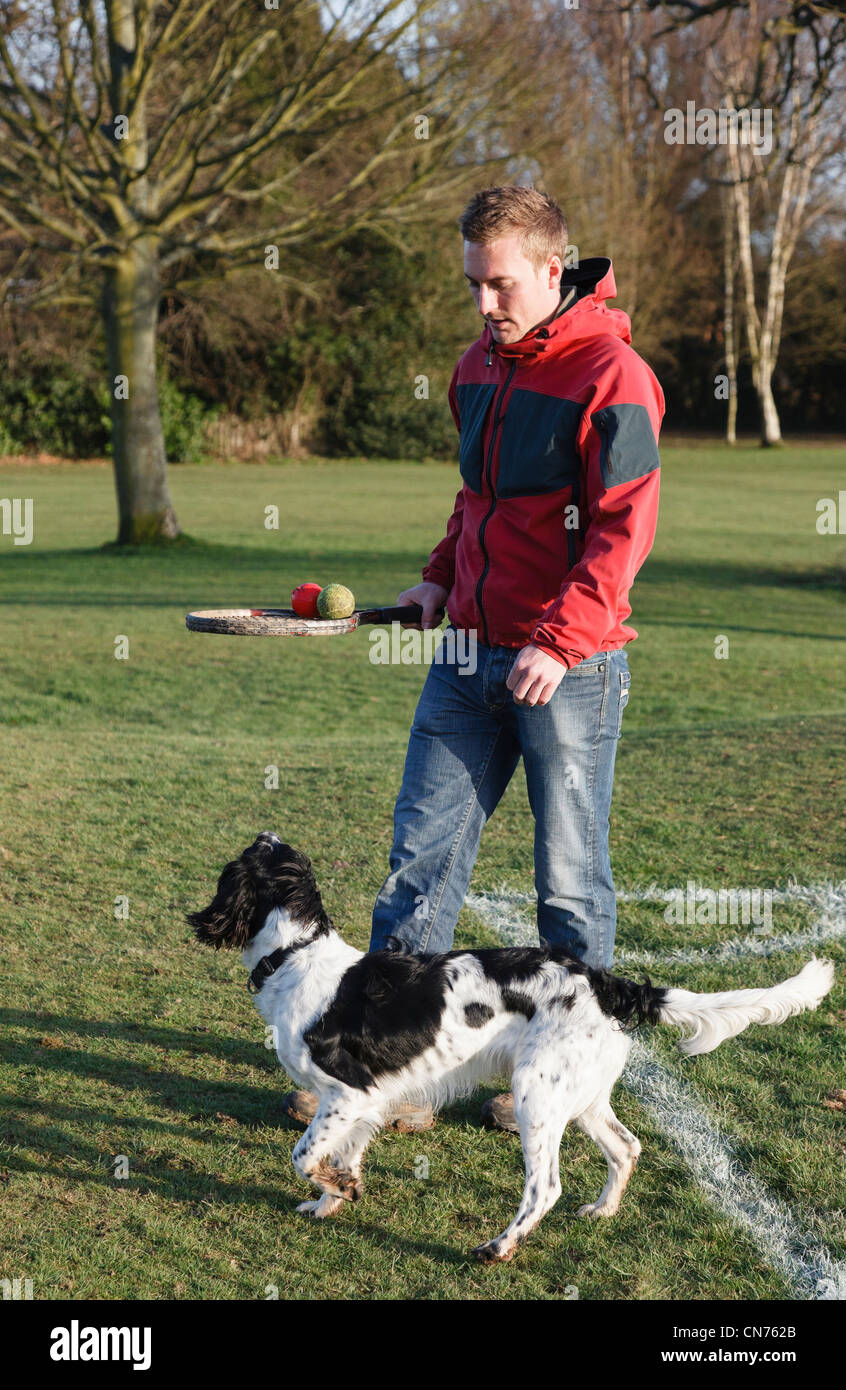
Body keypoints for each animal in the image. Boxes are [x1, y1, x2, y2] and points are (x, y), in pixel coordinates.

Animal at [190, 828, 833, 1267]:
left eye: (244, 860)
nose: (266, 831)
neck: (295, 957)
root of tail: (605, 983)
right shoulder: (366, 1102)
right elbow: (342, 1158)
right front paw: (332, 1201)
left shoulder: (347, 1094)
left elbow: (305, 1156)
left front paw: (335, 1191)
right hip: (579, 1098)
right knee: (627, 1147)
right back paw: (602, 1211)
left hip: (535, 1099)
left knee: (544, 1188)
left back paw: (497, 1247)